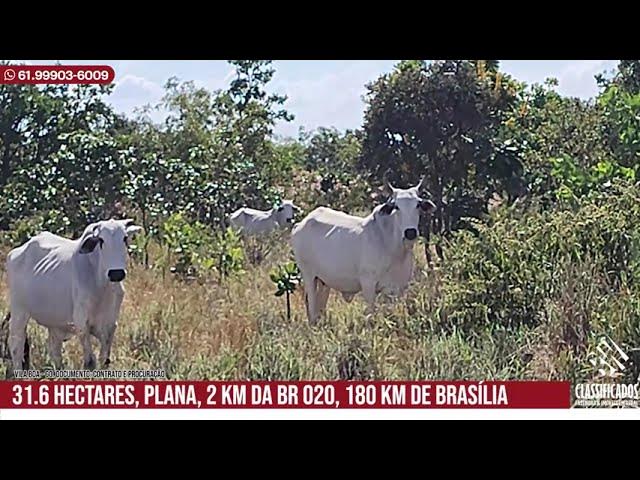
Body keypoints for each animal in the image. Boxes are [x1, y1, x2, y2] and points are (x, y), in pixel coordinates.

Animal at [5, 218, 142, 376]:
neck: (102, 286)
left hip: (54, 324)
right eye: (101, 240)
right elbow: (90, 362)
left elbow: (104, 360)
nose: (116, 273)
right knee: (16, 346)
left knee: (55, 351)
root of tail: (16, 252)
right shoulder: (81, 323)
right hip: (19, 311)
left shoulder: (110, 324)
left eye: (125, 238)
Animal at [292, 178, 438, 324]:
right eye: (396, 206)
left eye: (418, 205)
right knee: (311, 305)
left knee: (320, 306)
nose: (410, 233)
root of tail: (300, 224)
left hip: (324, 282)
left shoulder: (398, 288)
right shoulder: (368, 284)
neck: (393, 248)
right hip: (309, 276)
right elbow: (370, 314)